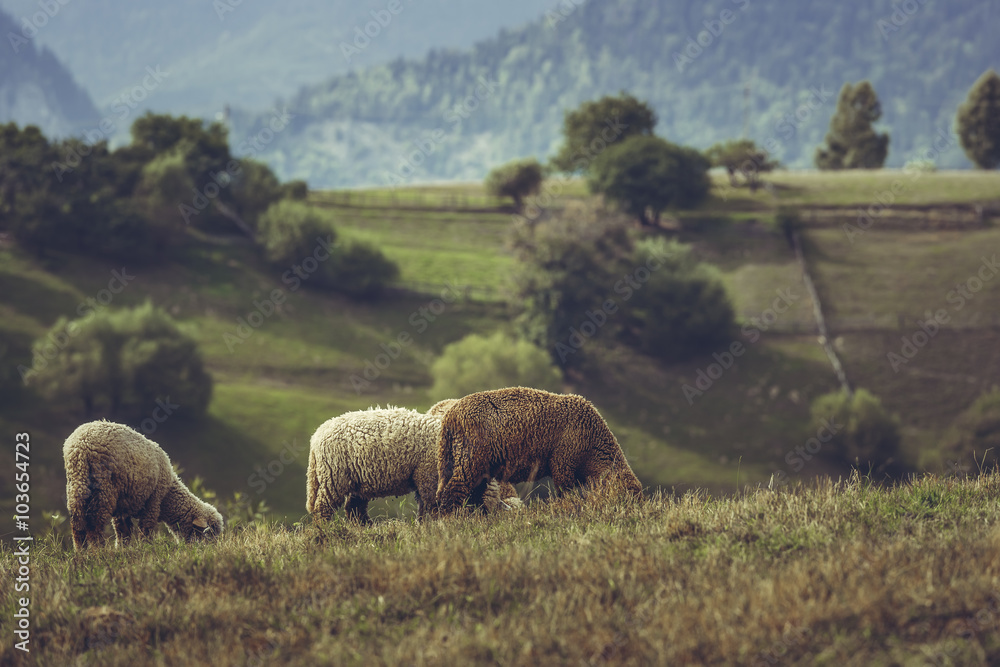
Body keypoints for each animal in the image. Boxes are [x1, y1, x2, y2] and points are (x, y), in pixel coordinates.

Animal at [63, 420, 223, 550]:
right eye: (209, 534)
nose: (214, 550)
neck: (168, 497)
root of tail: (80, 446)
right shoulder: (153, 500)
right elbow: (146, 528)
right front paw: (146, 548)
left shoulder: (122, 507)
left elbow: (123, 531)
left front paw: (122, 550)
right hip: (103, 487)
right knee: (95, 522)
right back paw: (99, 550)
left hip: (76, 483)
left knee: (77, 521)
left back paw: (81, 552)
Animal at [307, 406, 521, 523]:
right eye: (484, 507)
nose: (482, 525)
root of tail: (316, 435)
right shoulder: (428, 475)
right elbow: (432, 506)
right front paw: (435, 525)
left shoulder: (422, 478)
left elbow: (423, 507)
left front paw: (422, 525)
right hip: (334, 477)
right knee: (323, 507)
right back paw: (324, 530)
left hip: (358, 480)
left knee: (354, 508)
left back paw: (366, 527)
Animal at [436, 386, 643, 514]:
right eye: (626, 496)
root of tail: (450, 416)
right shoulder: (563, 463)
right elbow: (566, 493)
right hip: (470, 459)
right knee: (453, 493)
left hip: (472, 465)